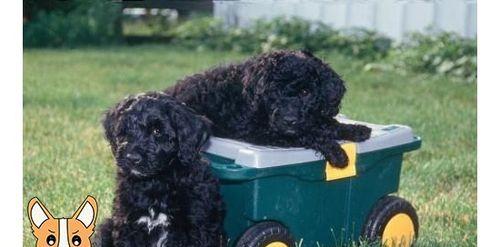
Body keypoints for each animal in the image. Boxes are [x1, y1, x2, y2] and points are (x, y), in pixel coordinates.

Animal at [94, 91, 224, 246]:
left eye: (157, 131)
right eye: (124, 131)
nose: (132, 158)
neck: (156, 182)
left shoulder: (197, 226)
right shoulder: (126, 224)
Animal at [167, 49, 372, 168]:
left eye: (306, 92)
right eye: (274, 91)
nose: (289, 120)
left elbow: (324, 123)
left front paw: (355, 130)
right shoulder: (263, 133)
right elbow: (309, 133)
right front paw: (337, 152)